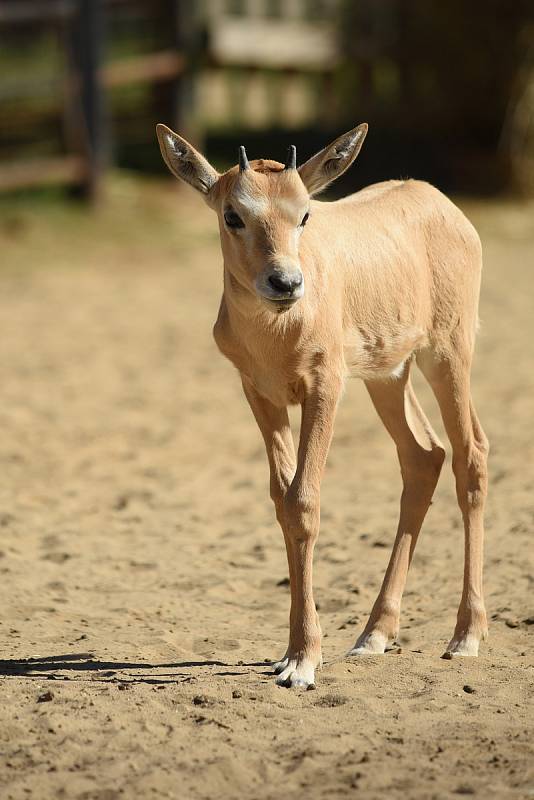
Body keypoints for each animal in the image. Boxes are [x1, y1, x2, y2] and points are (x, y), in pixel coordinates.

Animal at [156, 123, 490, 688]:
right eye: (233, 215)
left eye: (305, 213)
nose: (285, 283)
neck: (277, 333)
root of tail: (440, 204)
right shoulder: (259, 392)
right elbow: (281, 499)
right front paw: (290, 653)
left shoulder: (325, 386)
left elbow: (304, 501)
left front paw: (303, 662)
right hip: (388, 374)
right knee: (424, 455)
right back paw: (373, 636)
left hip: (448, 353)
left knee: (471, 457)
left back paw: (465, 636)